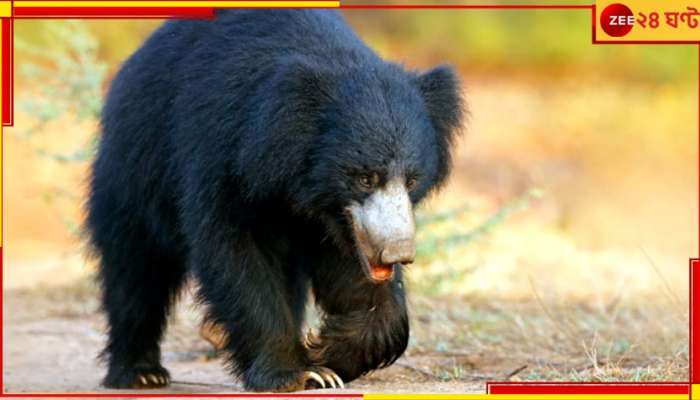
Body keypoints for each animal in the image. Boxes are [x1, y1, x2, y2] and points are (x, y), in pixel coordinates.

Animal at [86, 10, 464, 394]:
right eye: (365, 178)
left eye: (412, 180)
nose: (397, 252)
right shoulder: (223, 154)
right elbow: (236, 254)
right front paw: (294, 373)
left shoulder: (338, 220)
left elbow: (354, 270)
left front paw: (326, 352)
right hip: (133, 174)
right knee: (136, 272)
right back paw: (141, 372)